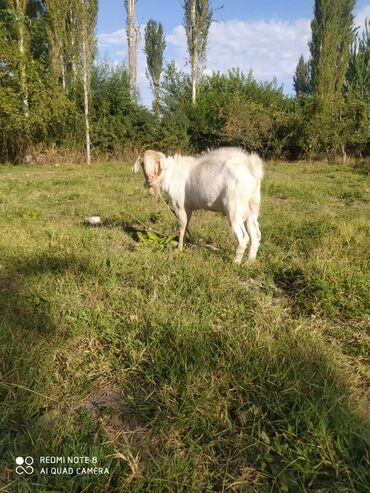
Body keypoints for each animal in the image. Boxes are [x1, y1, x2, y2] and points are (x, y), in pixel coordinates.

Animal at [132, 148, 264, 264]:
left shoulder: (180, 206)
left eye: (157, 162)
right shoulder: (188, 208)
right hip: (252, 206)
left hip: (235, 209)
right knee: (255, 235)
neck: (171, 174)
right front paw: (184, 245)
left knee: (243, 237)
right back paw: (249, 262)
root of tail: (252, 167)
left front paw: (178, 250)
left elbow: (181, 226)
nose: (150, 179)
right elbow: (186, 226)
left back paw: (236, 262)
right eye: (142, 163)